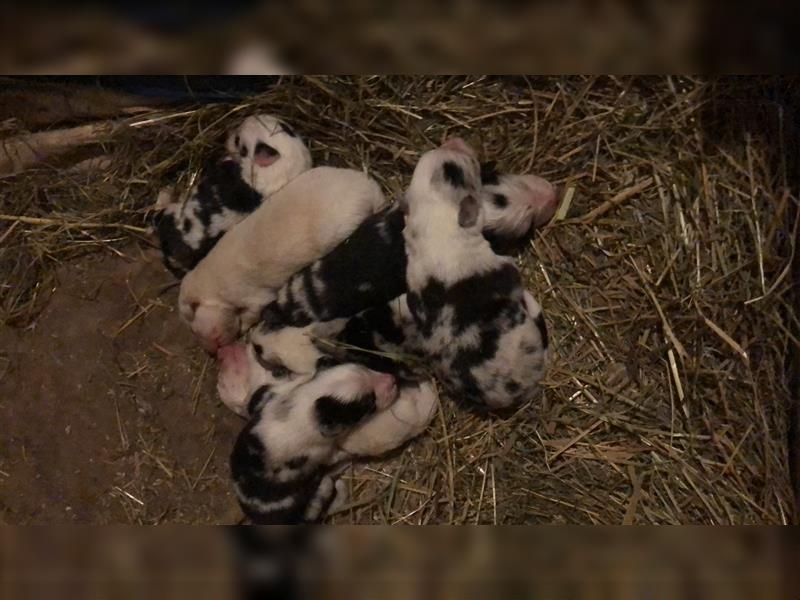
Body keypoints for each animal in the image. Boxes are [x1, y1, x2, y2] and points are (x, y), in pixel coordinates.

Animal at [177, 165, 388, 352]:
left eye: (193, 327)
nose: (210, 351)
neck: (213, 288)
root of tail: (372, 190)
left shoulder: (254, 296)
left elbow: (251, 313)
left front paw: (244, 327)